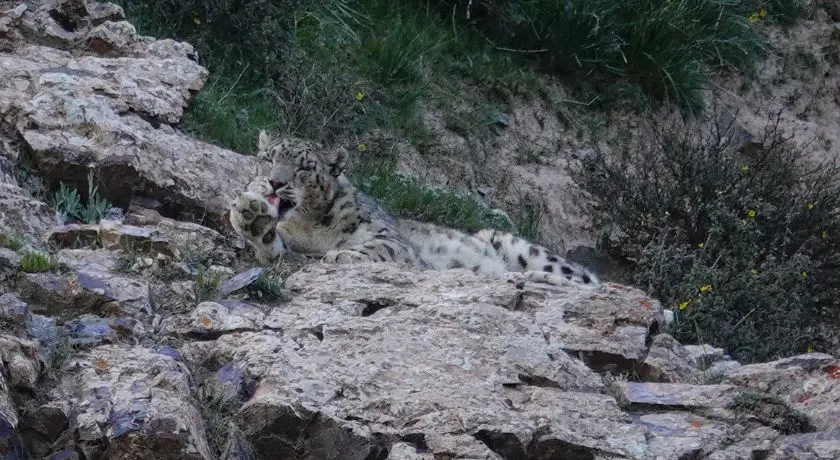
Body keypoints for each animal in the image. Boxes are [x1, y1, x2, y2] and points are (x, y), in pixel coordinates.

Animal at [228, 130, 601, 289]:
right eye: (268, 158)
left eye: (304, 167)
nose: (275, 182)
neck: (311, 225)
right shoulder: (292, 246)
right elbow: (273, 248)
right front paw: (252, 217)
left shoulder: (390, 239)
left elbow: (381, 246)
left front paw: (342, 255)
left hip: (517, 245)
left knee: (587, 280)